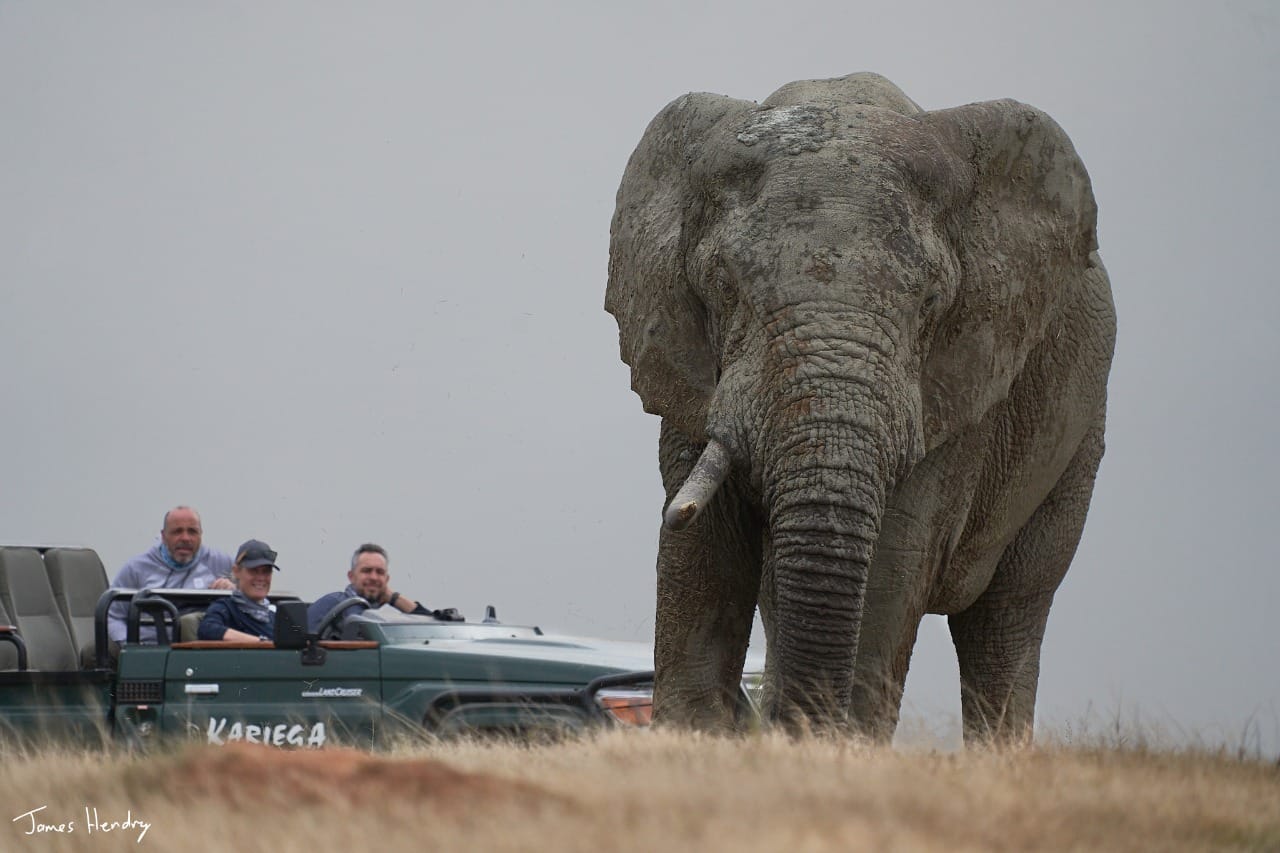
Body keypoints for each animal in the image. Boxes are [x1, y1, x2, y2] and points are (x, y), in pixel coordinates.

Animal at [604, 71, 1116, 737]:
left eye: (932, 303)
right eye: (723, 285)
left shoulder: (958, 386)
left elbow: (892, 562)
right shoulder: (688, 372)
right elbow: (704, 548)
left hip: (1080, 435)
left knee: (1010, 614)